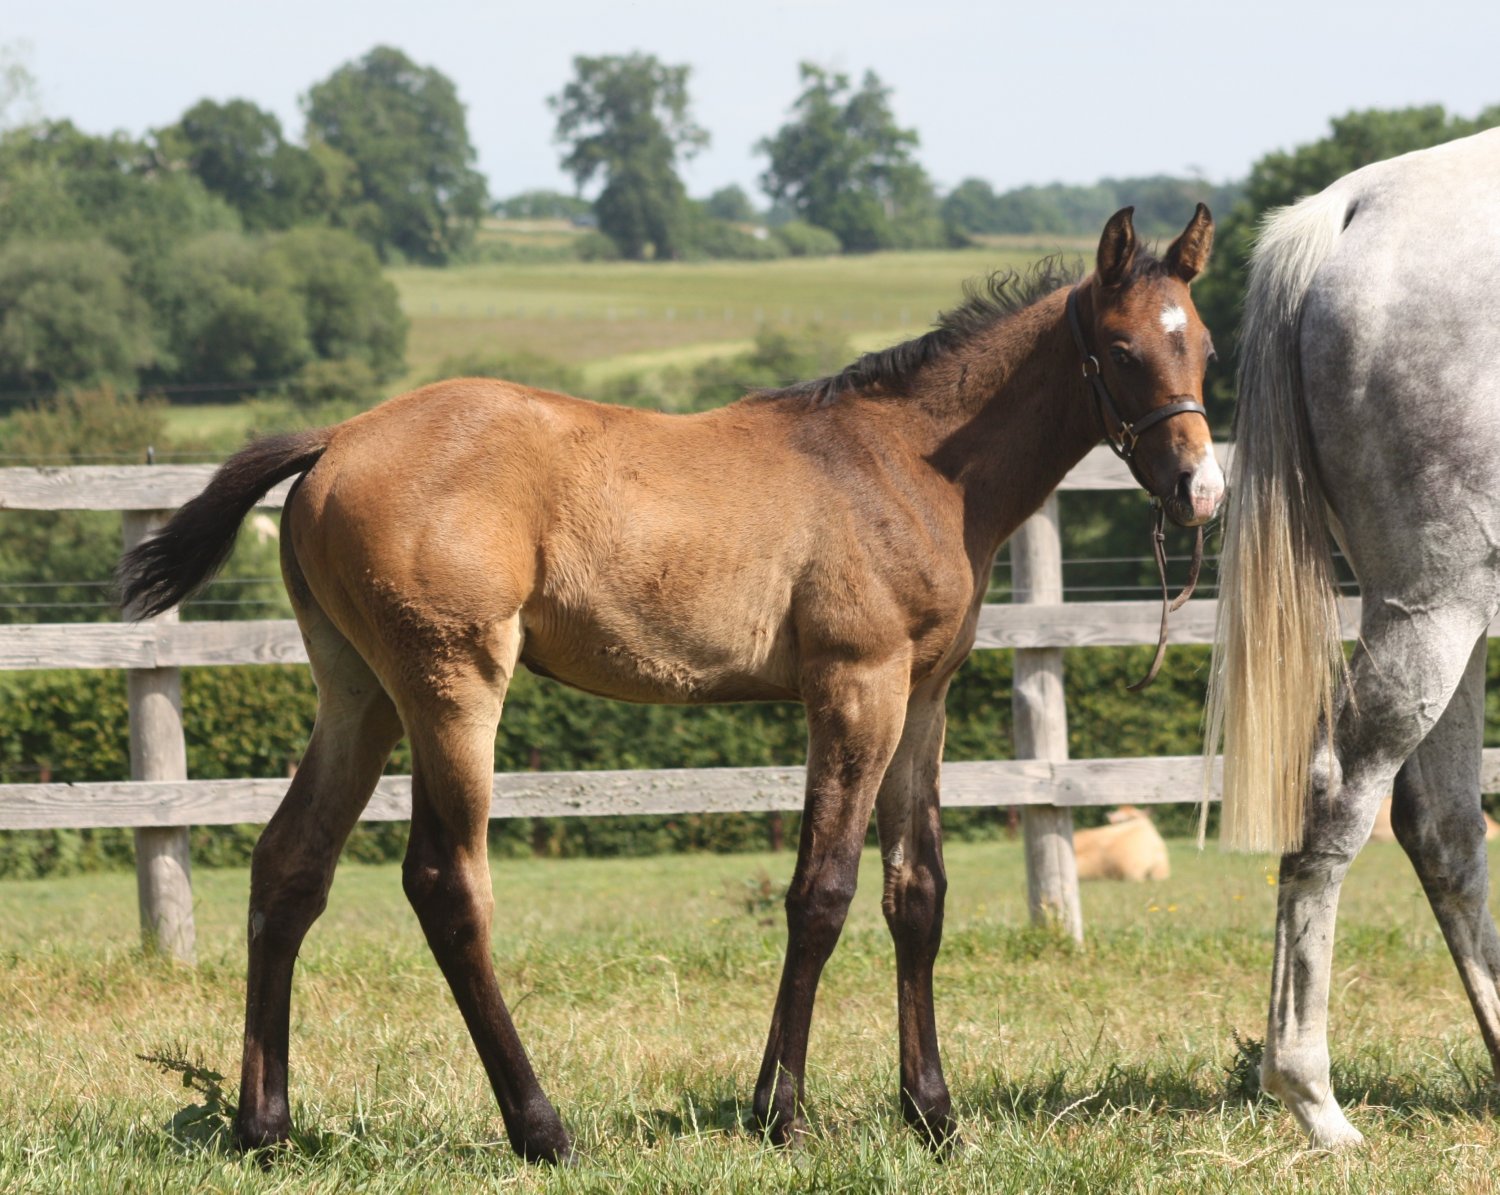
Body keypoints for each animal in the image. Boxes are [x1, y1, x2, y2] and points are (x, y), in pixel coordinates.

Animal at [119, 206, 1221, 1163]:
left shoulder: (925, 700)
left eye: (1204, 347)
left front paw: (935, 1116)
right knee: (444, 879)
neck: (909, 465)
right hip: (451, 686)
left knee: (289, 865)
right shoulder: (855, 689)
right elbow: (822, 891)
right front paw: (780, 1114)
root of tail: (337, 439)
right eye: (1124, 348)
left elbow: (918, 893)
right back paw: (542, 1128)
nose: (1200, 490)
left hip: (359, 694)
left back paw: (263, 1127)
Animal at [1206, 128, 1500, 1148]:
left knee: (1442, 827)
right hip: (1433, 609)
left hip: (1458, 617)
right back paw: (1314, 1099)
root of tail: (1352, 209)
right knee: (1340, 795)